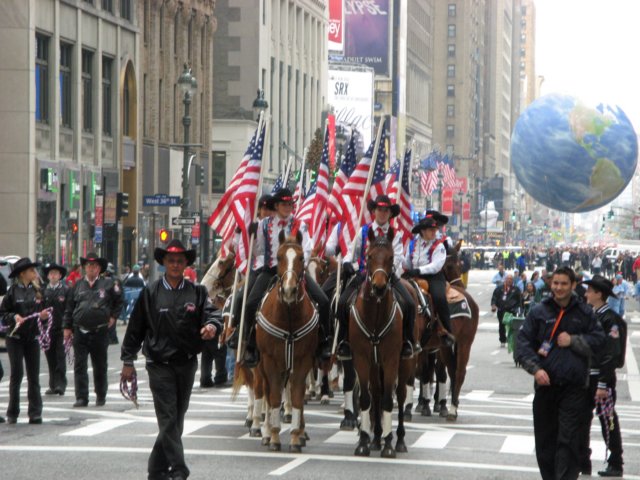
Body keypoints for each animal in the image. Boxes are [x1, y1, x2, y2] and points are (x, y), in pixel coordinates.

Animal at [252, 231, 318, 452]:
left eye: (301, 258)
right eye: (279, 257)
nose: (289, 290)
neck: (288, 314)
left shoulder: (302, 360)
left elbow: (297, 396)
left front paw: (297, 436)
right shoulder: (270, 360)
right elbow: (272, 397)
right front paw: (273, 436)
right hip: (261, 364)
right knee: (264, 390)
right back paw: (262, 429)